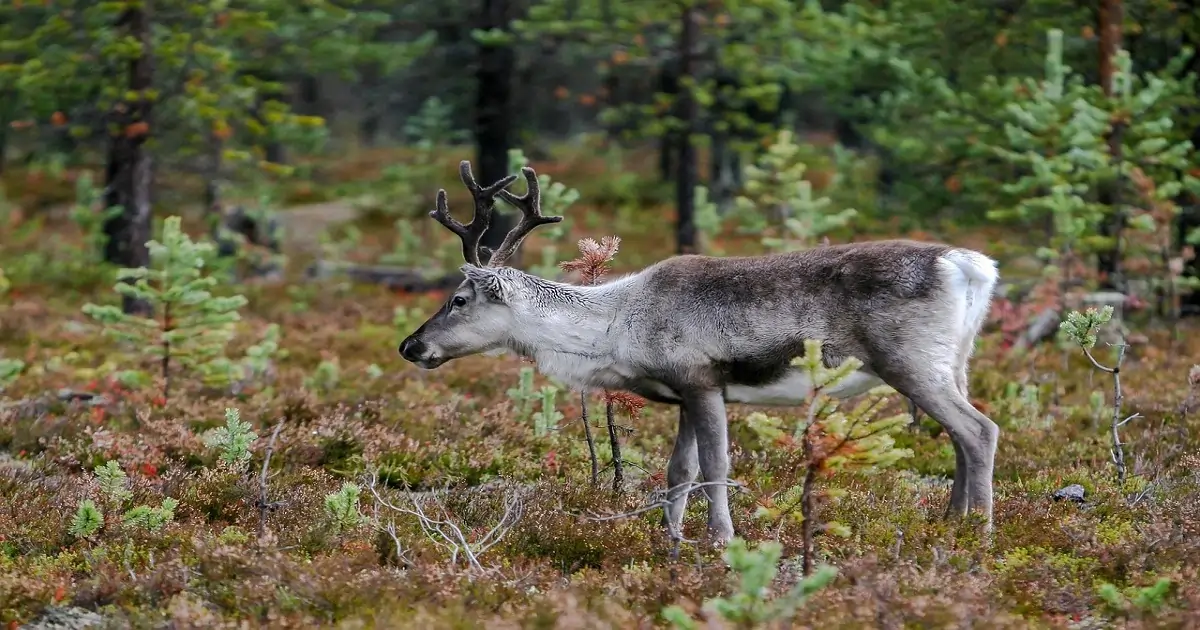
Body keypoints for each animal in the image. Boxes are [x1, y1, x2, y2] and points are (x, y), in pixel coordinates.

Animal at [398, 160, 1002, 546]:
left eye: (458, 299)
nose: (410, 345)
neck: (617, 326)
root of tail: (970, 264)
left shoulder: (703, 381)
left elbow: (715, 465)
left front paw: (721, 540)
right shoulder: (684, 394)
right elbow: (678, 471)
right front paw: (671, 538)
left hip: (911, 362)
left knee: (979, 430)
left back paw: (980, 533)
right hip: (956, 362)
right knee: (960, 435)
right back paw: (950, 523)